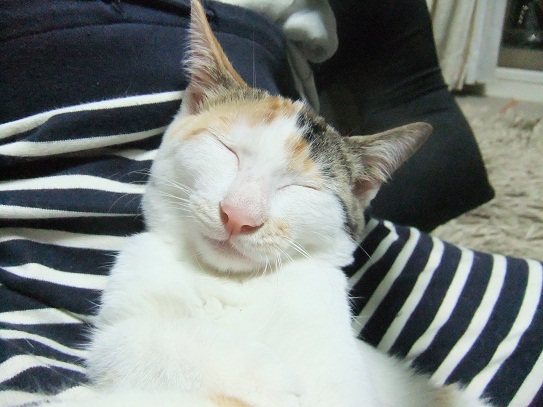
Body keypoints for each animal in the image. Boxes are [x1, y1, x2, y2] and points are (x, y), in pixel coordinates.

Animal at [46, 0, 492, 406]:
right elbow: (127, 341)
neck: (228, 284)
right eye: (227, 150)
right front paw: (262, 375)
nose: (238, 215)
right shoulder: (120, 320)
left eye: (301, 188)